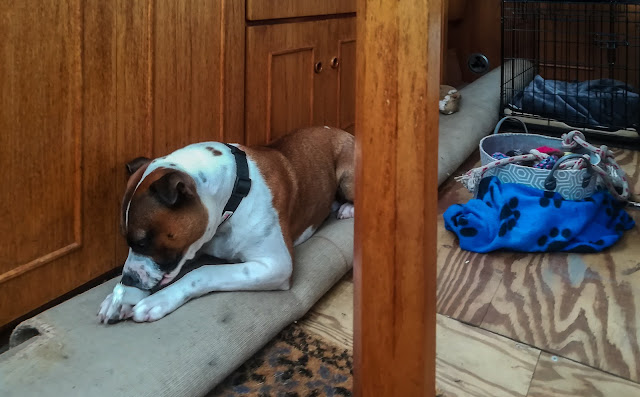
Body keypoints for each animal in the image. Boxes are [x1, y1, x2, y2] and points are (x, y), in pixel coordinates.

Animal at [99, 126, 356, 322]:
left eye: (143, 241)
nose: (128, 279)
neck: (234, 193)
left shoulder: (275, 265)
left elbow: (203, 272)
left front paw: (158, 300)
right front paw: (120, 296)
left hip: (348, 175)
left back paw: (347, 208)